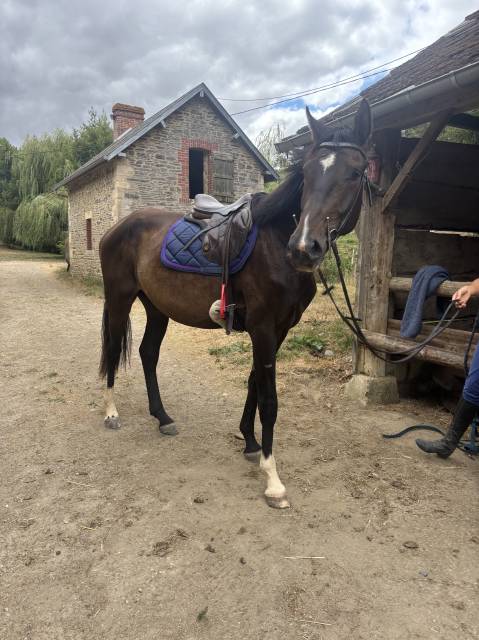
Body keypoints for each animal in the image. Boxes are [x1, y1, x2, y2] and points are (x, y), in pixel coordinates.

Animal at [98, 99, 372, 508]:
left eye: (354, 173)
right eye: (306, 172)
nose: (304, 248)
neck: (276, 240)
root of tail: (116, 228)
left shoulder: (279, 329)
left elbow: (254, 382)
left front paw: (250, 442)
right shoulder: (262, 327)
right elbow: (270, 398)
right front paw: (273, 479)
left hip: (156, 308)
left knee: (147, 354)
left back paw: (162, 417)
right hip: (119, 300)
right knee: (114, 349)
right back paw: (112, 413)